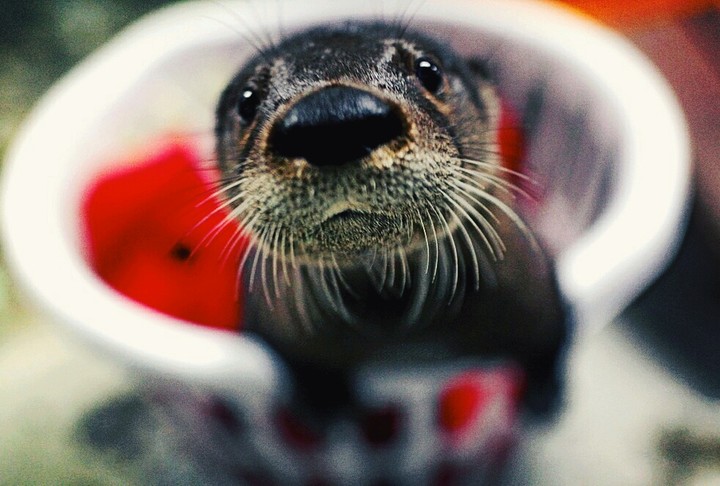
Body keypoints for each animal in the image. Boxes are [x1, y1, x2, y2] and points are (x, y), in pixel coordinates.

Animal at [215, 22, 568, 412]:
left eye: (429, 71)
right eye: (247, 100)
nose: (334, 115)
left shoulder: (537, 294)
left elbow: (549, 341)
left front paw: (542, 395)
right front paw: (326, 403)